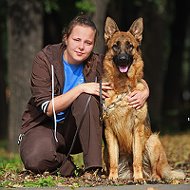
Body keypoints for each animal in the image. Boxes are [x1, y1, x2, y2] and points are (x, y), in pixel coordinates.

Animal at [102, 17, 186, 183]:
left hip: (153, 141)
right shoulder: (109, 132)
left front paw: (138, 178)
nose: (123, 60)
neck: (123, 88)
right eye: (115, 46)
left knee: (155, 170)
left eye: (130, 46)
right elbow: (114, 160)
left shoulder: (137, 129)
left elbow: (137, 159)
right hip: (105, 150)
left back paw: (152, 177)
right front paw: (112, 177)